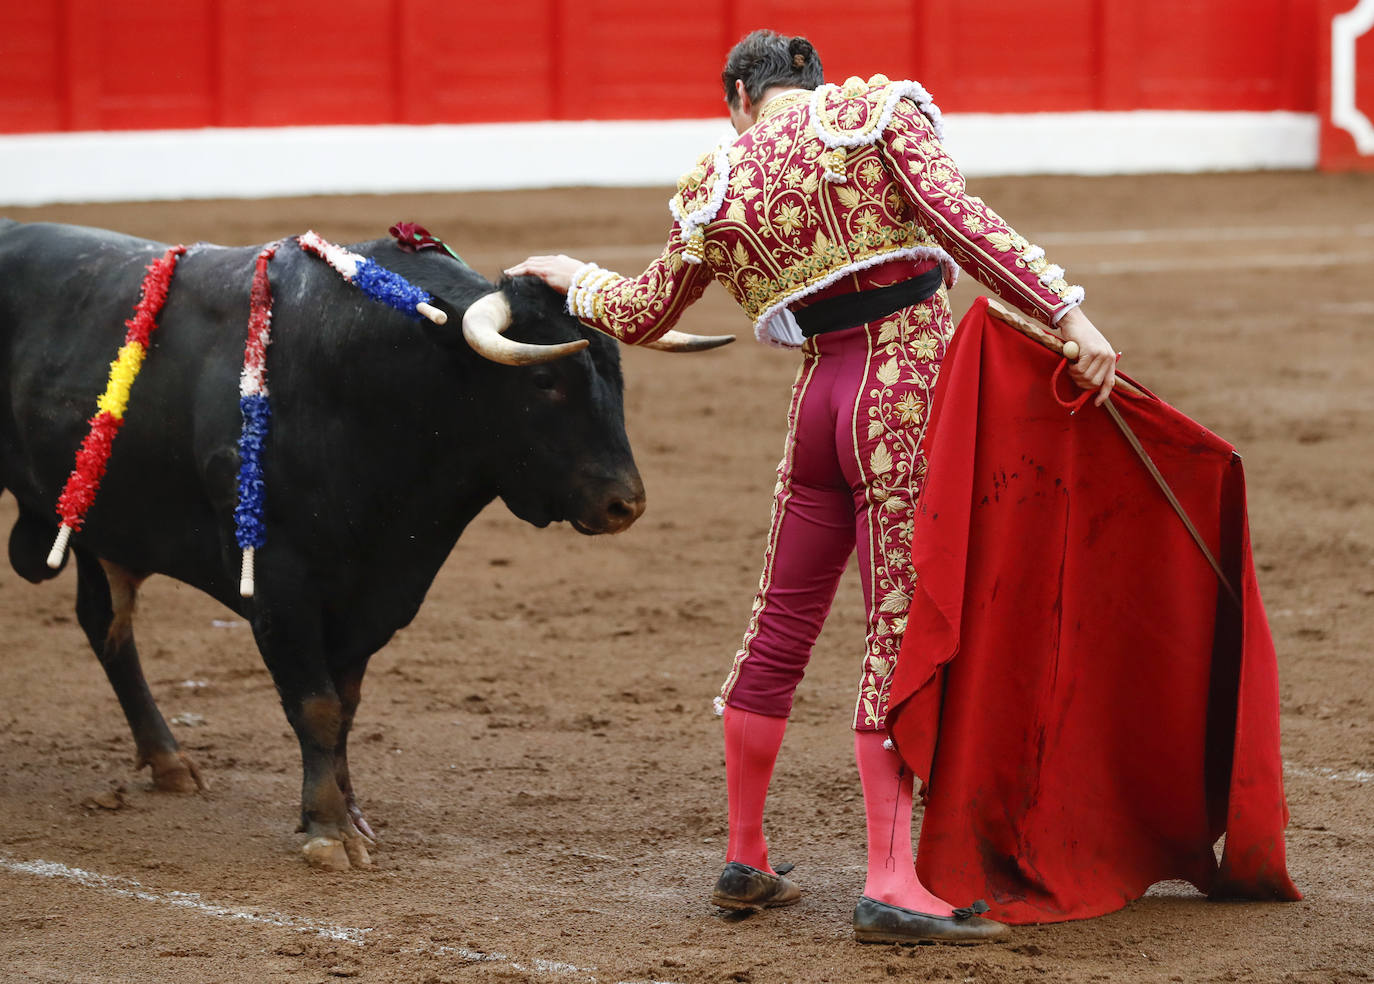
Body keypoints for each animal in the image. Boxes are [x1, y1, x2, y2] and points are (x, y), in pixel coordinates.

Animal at [0, 221, 730, 868]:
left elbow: (344, 708)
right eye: (545, 381)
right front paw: (328, 831)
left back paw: (169, 761)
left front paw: (347, 813)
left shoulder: (372, 592)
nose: (624, 504)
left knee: (105, 625)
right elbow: (317, 706)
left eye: (615, 373)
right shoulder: (280, 584)